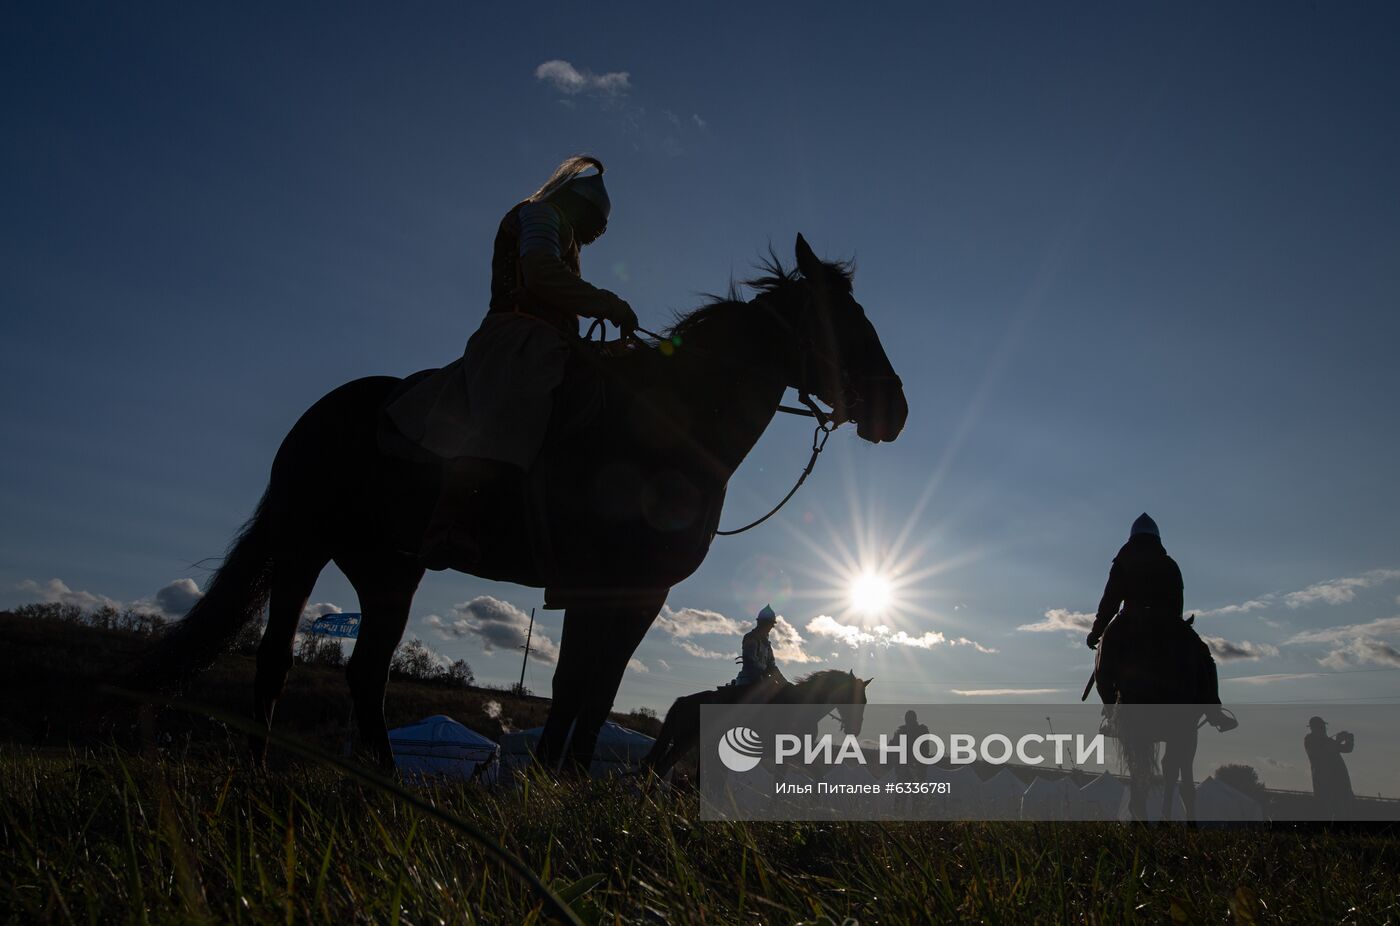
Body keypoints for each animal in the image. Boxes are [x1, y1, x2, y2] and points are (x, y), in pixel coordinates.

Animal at [641, 666, 868, 778]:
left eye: (864, 701)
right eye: (852, 697)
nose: (855, 729)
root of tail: (683, 701)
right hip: (683, 743)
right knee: (659, 768)